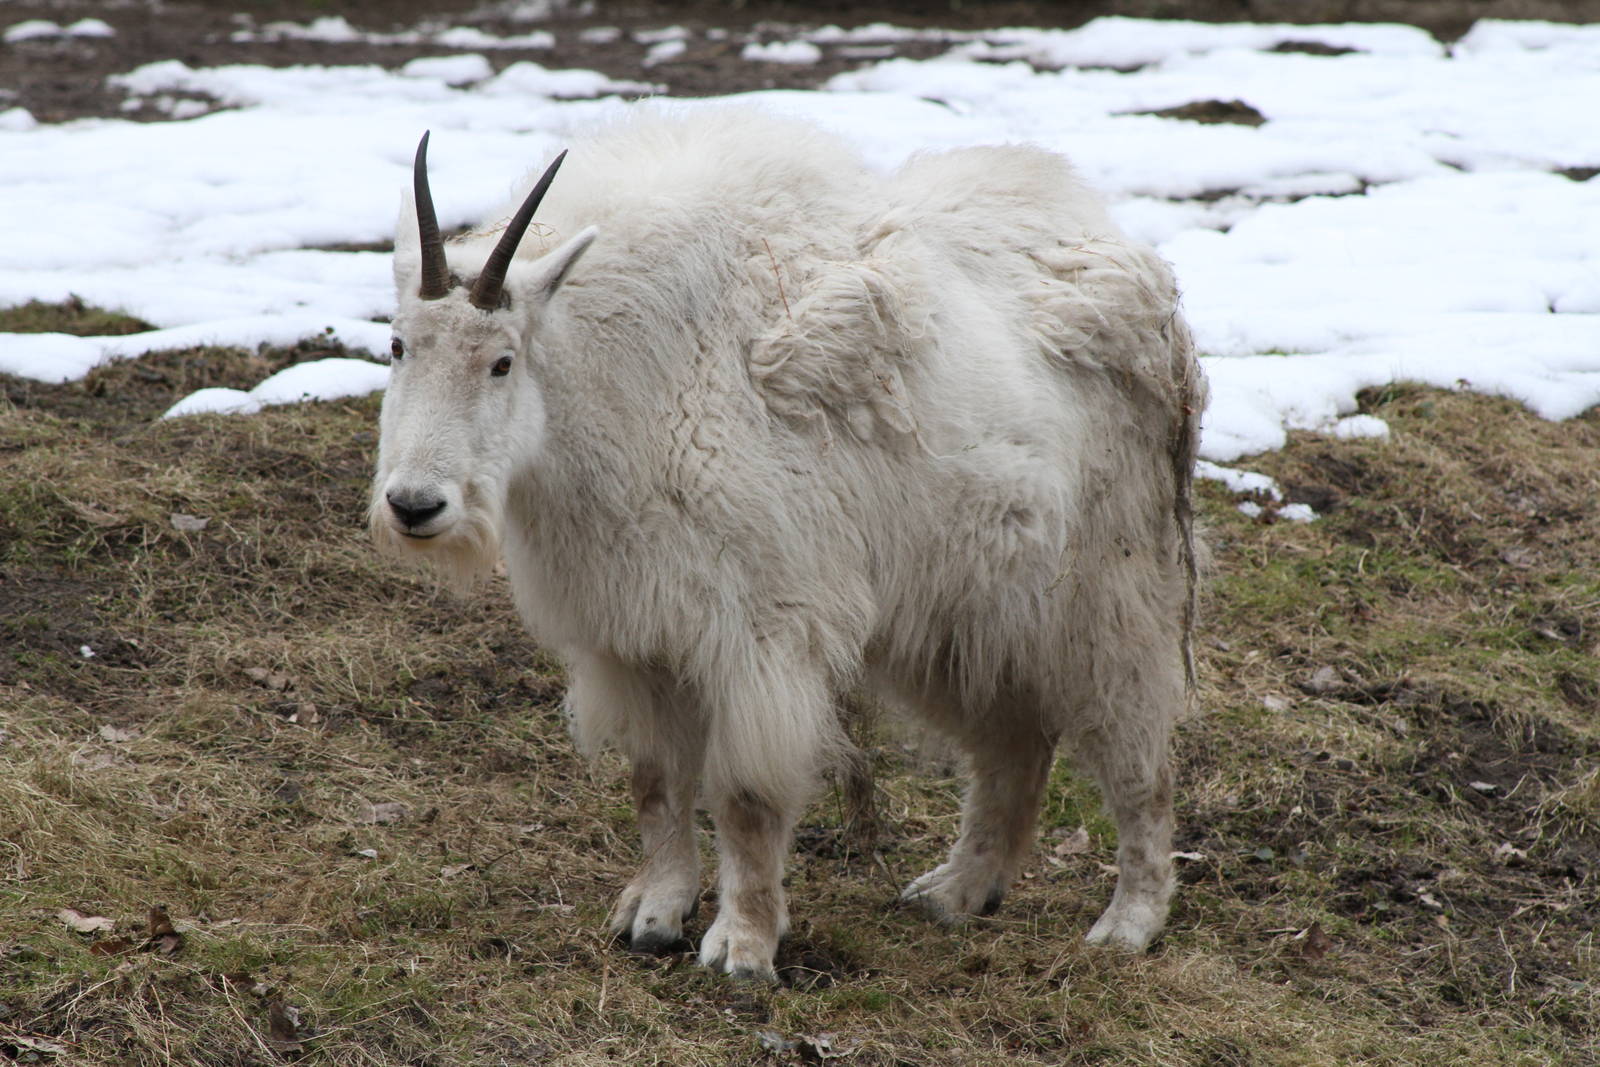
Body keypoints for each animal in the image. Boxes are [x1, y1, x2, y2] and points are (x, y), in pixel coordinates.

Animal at [371, 108, 1205, 980]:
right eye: (397, 345)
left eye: (502, 361)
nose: (415, 505)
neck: (620, 384)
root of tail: (1151, 287)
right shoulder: (633, 637)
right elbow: (655, 782)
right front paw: (655, 913)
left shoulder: (759, 634)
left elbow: (745, 798)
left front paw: (742, 946)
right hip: (962, 605)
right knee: (1015, 740)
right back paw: (956, 889)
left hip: (1114, 587)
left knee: (1138, 750)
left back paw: (1130, 917)